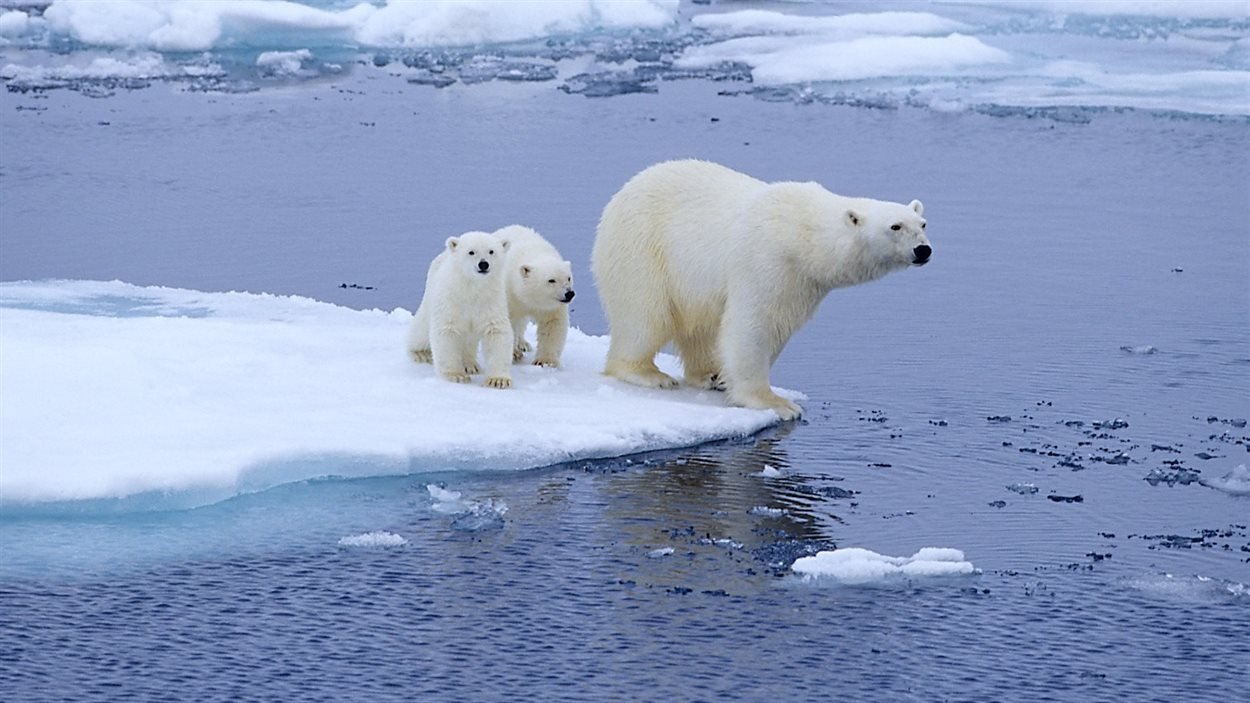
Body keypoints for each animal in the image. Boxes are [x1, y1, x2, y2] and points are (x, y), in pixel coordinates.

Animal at [405, 230, 512, 385]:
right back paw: (420, 353)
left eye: (491, 251)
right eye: (471, 252)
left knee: (468, 340)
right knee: (420, 331)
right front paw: (456, 375)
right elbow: (446, 331)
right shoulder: (450, 300)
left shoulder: (491, 302)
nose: (483, 264)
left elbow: (496, 332)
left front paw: (498, 380)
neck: (471, 289)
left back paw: (470, 365)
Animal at [495, 223, 577, 367]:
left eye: (568, 278)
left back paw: (524, 344)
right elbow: (509, 322)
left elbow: (552, 325)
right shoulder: (510, 295)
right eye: (551, 280)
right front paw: (513, 354)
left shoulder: (551, 307)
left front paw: (545, 361)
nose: (569, 293)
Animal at [590, 158, 935, 417]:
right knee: (645, 316)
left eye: (922, 223)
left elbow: (779, 326)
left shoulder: (803, 283)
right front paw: (776, 403)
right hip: (643, 249)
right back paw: (650, 374)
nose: (923, 250)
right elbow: (754, 325)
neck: (803, 233)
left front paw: (730, 380)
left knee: (701, 327)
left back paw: (709, 375)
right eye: (895, 226)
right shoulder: (768, 261)